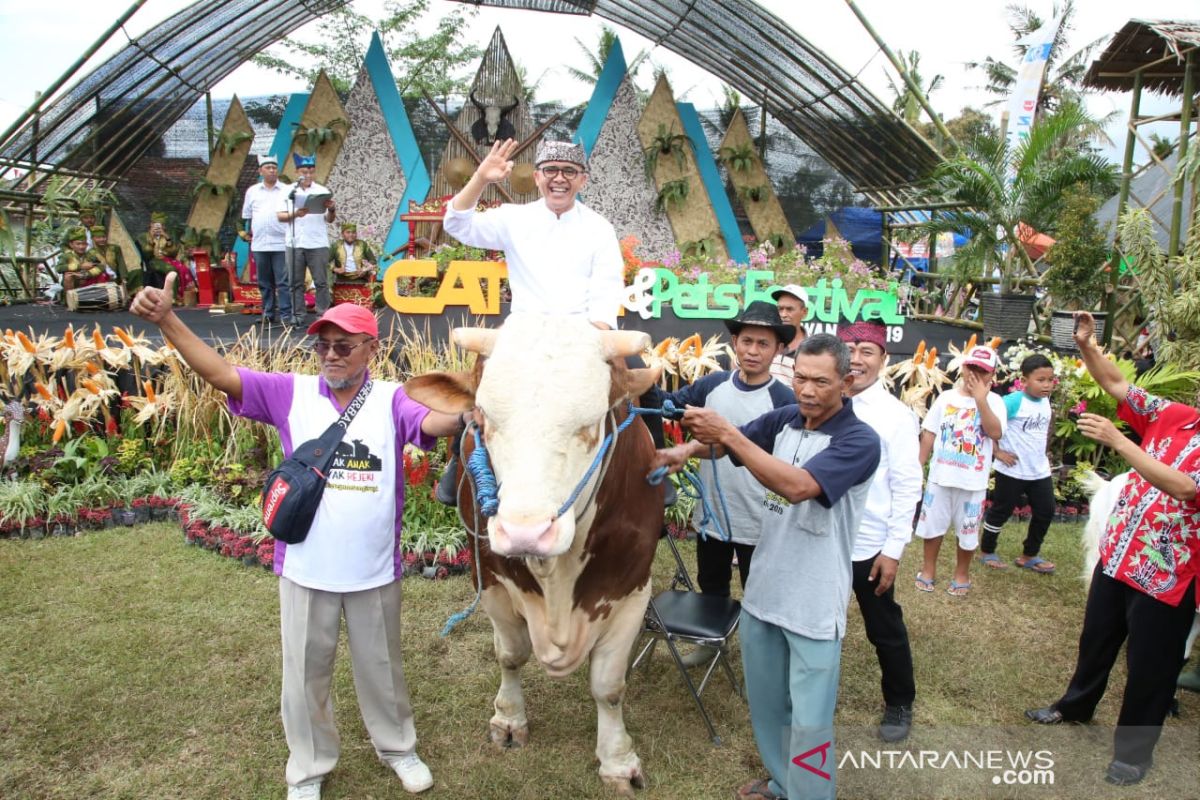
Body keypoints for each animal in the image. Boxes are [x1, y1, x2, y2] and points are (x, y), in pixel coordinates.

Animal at [408, 311, 662, 796]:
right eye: (484, 418)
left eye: (591, 423)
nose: (525, 531)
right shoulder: (488, 577)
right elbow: (510, 654)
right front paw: (509, 719)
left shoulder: (632, 588)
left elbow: (608, 686)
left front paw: (618, 761)